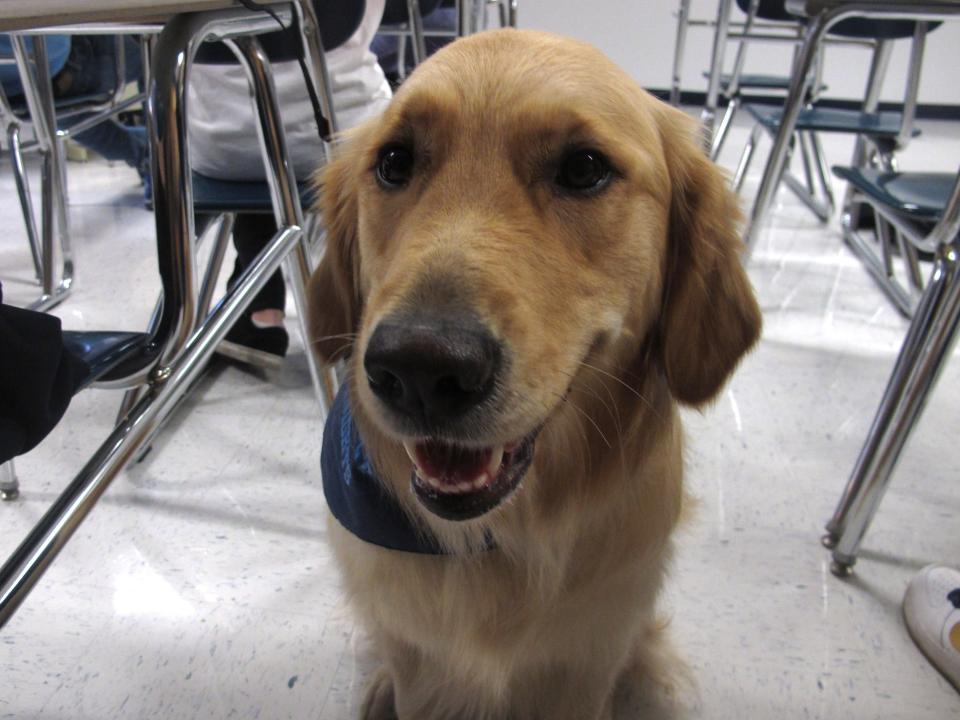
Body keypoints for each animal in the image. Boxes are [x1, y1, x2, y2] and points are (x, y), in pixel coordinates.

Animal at [308, 28, 756, 720]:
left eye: (584, 168)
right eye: (394, 163)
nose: (420, 368)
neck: (501, 536)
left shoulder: (586, 658)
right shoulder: (416, 655)